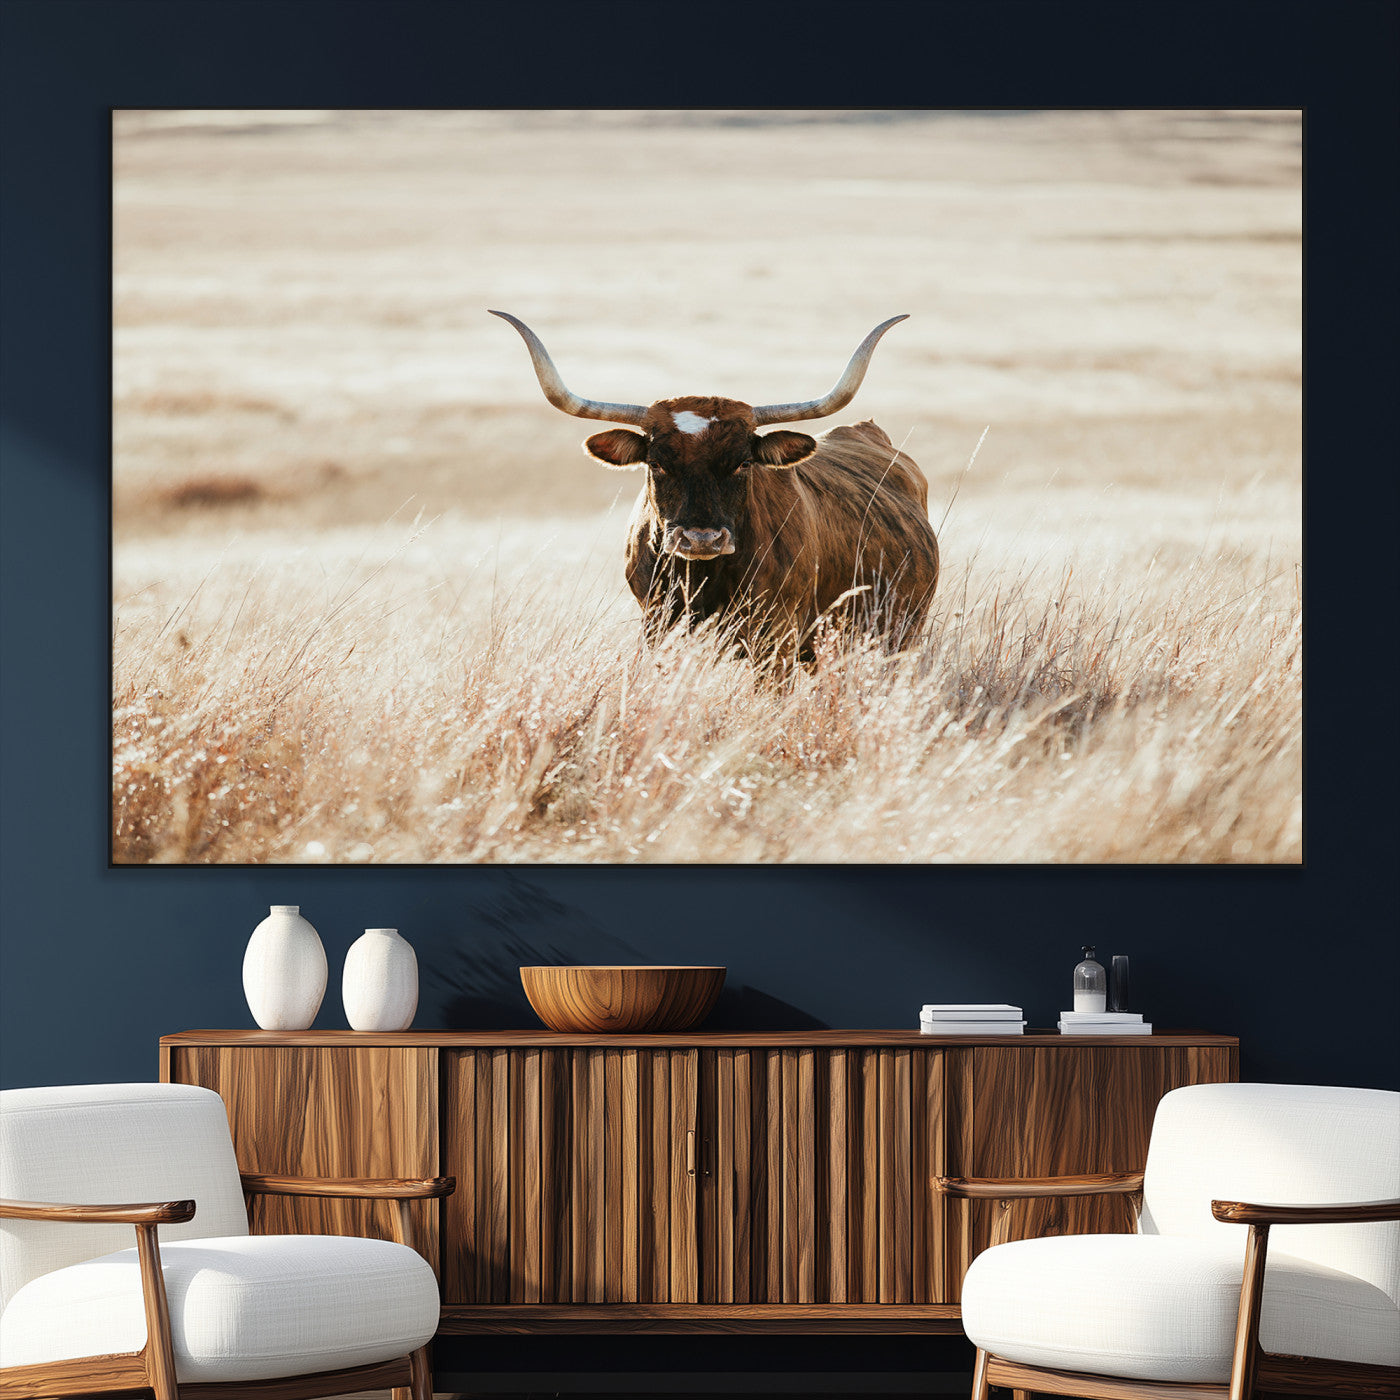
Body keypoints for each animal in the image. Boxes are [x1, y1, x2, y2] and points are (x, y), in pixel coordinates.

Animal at [491, 311, 939, 669]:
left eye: (743, 462)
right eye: (657, 463)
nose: (701, 539)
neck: (704, 576)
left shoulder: (776, 640)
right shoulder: (658, 629)